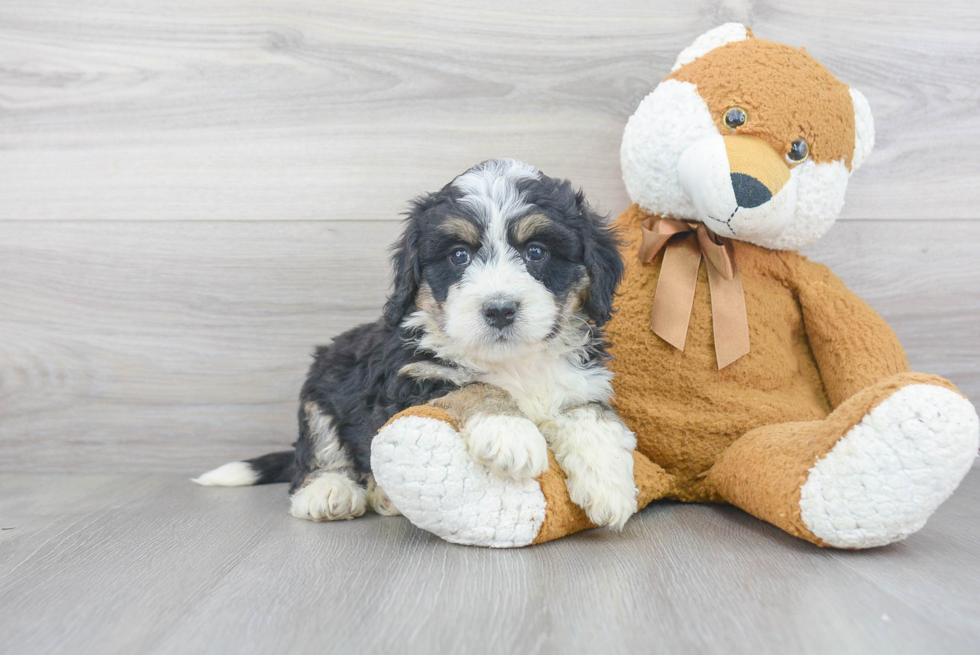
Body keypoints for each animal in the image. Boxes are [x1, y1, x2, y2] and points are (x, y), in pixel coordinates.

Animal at [195, 161, 640, 532]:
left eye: (536, 252)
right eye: (459, 256)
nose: (499, 310)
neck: (512, 361)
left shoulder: (583, 381)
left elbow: (592, 417)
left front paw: (610, 484)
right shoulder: (412, 378)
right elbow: (474, 386)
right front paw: (509, 432)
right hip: (322, 387)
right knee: (319, 452)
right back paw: (330, 492)